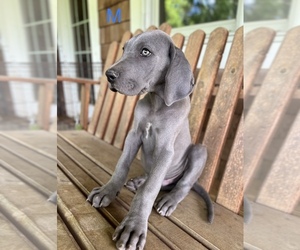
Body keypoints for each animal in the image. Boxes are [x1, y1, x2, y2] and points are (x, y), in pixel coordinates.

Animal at [86, 29, 213, 250]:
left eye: (145, 52)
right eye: (124, 49)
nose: (109, 75)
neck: (157, 103)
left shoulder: (166, 150)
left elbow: (150, 188)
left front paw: (134, 226)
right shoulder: (134, 135)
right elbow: (121, 166)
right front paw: (107, 190)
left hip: (199, 150)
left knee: (182, 184)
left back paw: (169, 199)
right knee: (154, 178)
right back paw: (138, 181)